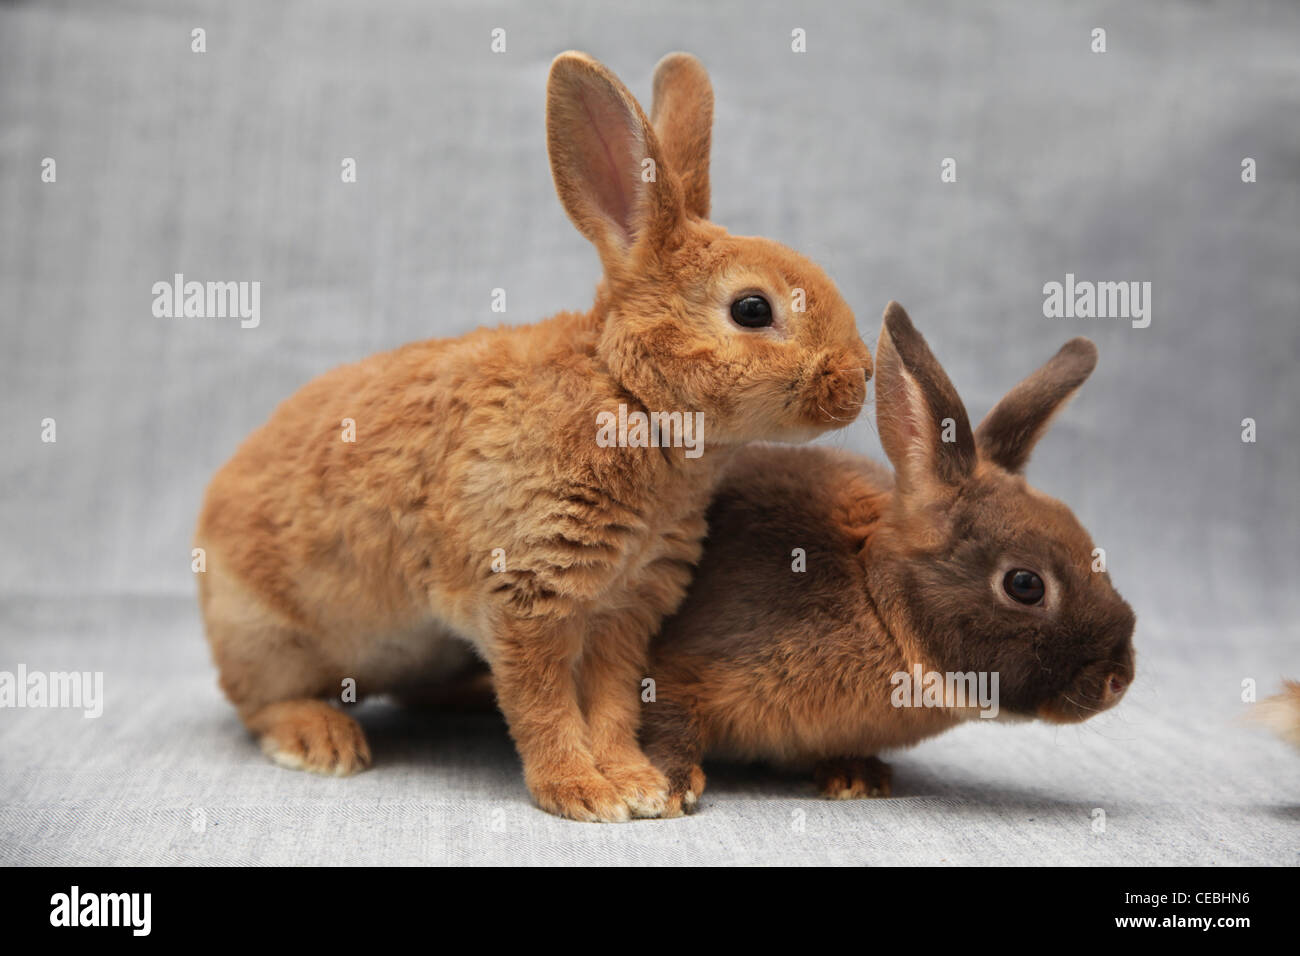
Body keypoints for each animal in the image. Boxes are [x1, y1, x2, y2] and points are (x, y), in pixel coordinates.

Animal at [194, 51, 872, 823]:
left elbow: (610, 704)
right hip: (264, 635)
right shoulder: (526, 597)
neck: (629, 396)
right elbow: (543, 703)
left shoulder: (626, 609)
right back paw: (322, 741)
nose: (860, 377)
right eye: (752, 310)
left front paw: (635, 783)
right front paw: (583, 793)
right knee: (260, 703)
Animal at [640, 301, 1136, 816]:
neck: (876, 601)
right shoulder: (682, 670)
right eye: (1025, 584)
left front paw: (857, 779)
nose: (1119, 679)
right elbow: (669, 722)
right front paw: (670, 788)